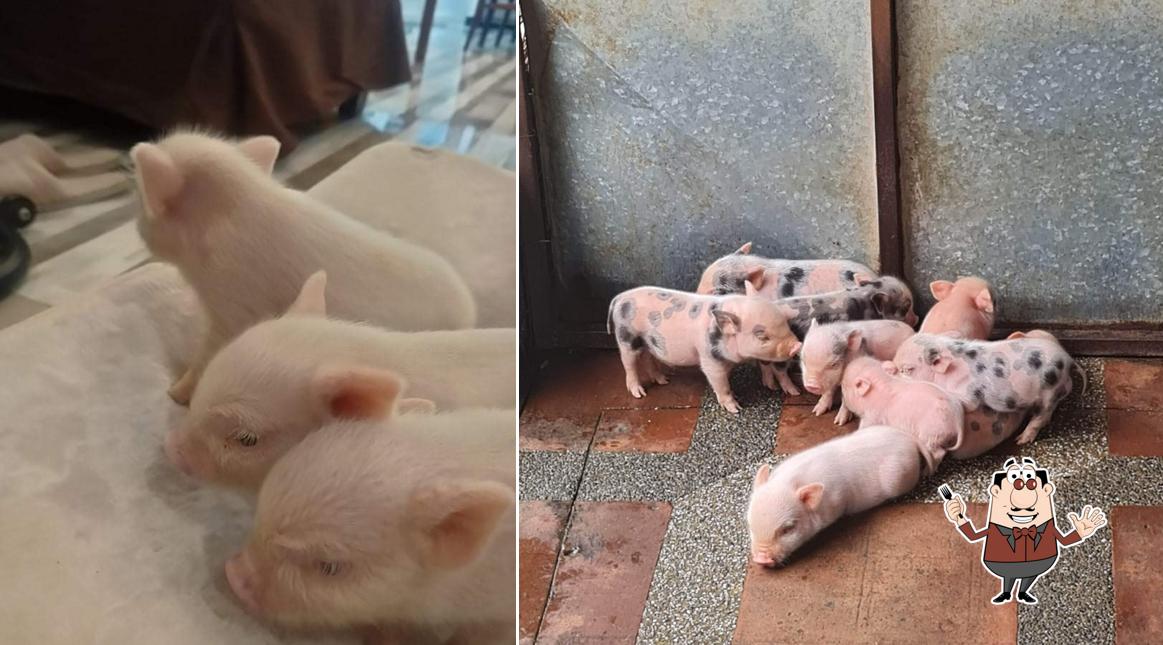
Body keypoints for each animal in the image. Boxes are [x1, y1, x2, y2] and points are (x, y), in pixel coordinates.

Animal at [130, 131, 476, 404]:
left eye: (142, 203)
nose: (137, 227)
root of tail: (470, 315)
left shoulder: (233, 307)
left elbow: (208, 356)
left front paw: (174, 393)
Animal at [607, 284, 802, 414]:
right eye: (761, 336)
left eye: (785, 323)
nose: (797, 345)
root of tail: (619, 298)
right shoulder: (709, 358)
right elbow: (719, 382)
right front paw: (735, 409)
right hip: (626, 338)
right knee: (629, 363)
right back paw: (639, 394)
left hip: (648, 341)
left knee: (648, 358)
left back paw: (663, 381)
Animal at [757, 278, 918, 395]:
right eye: (905, 307)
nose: (917, 319)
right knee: (779, 370)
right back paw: (794, 392)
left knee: (764, 363)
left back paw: (770, 385)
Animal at [892, 332, 1084, 445]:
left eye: (908, 369)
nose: (891, 373)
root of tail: (1068, 360)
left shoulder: (969, 393)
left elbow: (967, 403)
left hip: (1049, 393)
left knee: (1039, 417)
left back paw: (1021, 440)